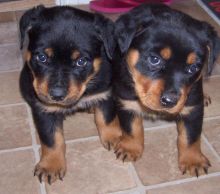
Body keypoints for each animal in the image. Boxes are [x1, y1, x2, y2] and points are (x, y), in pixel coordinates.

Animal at [19, 4, 116, 183]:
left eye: (81, 61)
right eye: (42, 57)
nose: (56, 95)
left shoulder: (105, 93)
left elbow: (106, 119)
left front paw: (116, 138)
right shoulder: (44, 109)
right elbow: (52, 139)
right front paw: (51, 165)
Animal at [110, 4, 220, 177]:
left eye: (193, 68)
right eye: (154, 59)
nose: (170, 101)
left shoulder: (193, 107)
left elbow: (190, 137)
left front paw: (193, 160)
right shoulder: (126, 101)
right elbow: (132, 128)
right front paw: (130, 148)